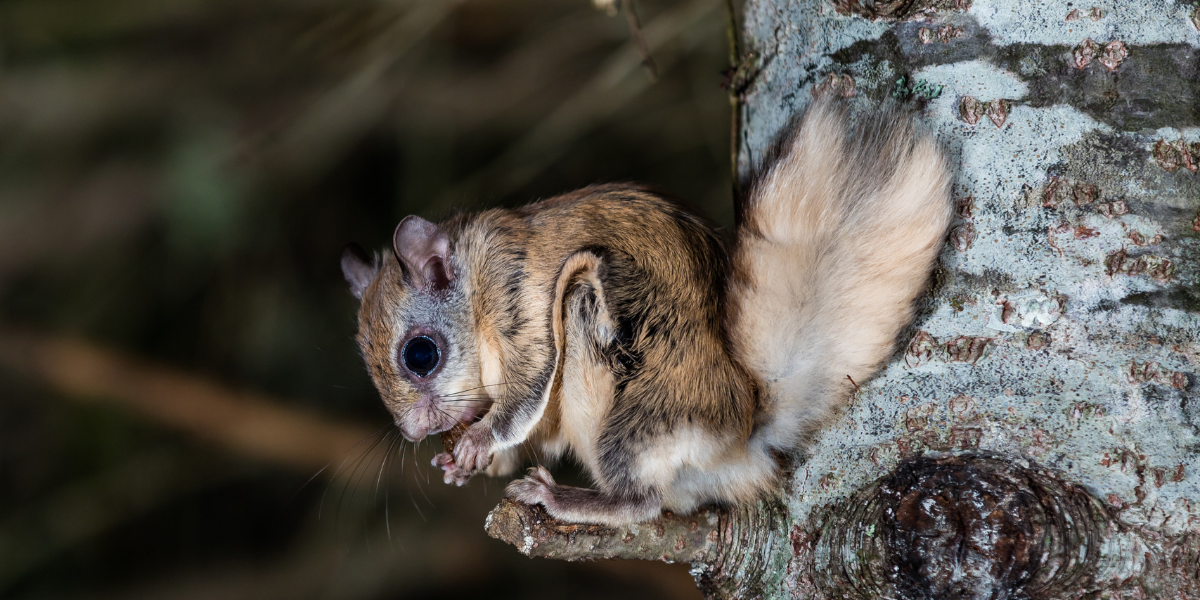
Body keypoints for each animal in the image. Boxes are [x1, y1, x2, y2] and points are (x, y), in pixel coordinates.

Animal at [340, 93, 955, 525]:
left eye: (421, 355)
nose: (413, 435)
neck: (473, 285)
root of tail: (741, 438)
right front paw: (462, 464)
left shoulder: (519, 305)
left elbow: (525, 393)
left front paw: (479, 441)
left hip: (624, 400)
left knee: (643, 504)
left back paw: (567, 499)